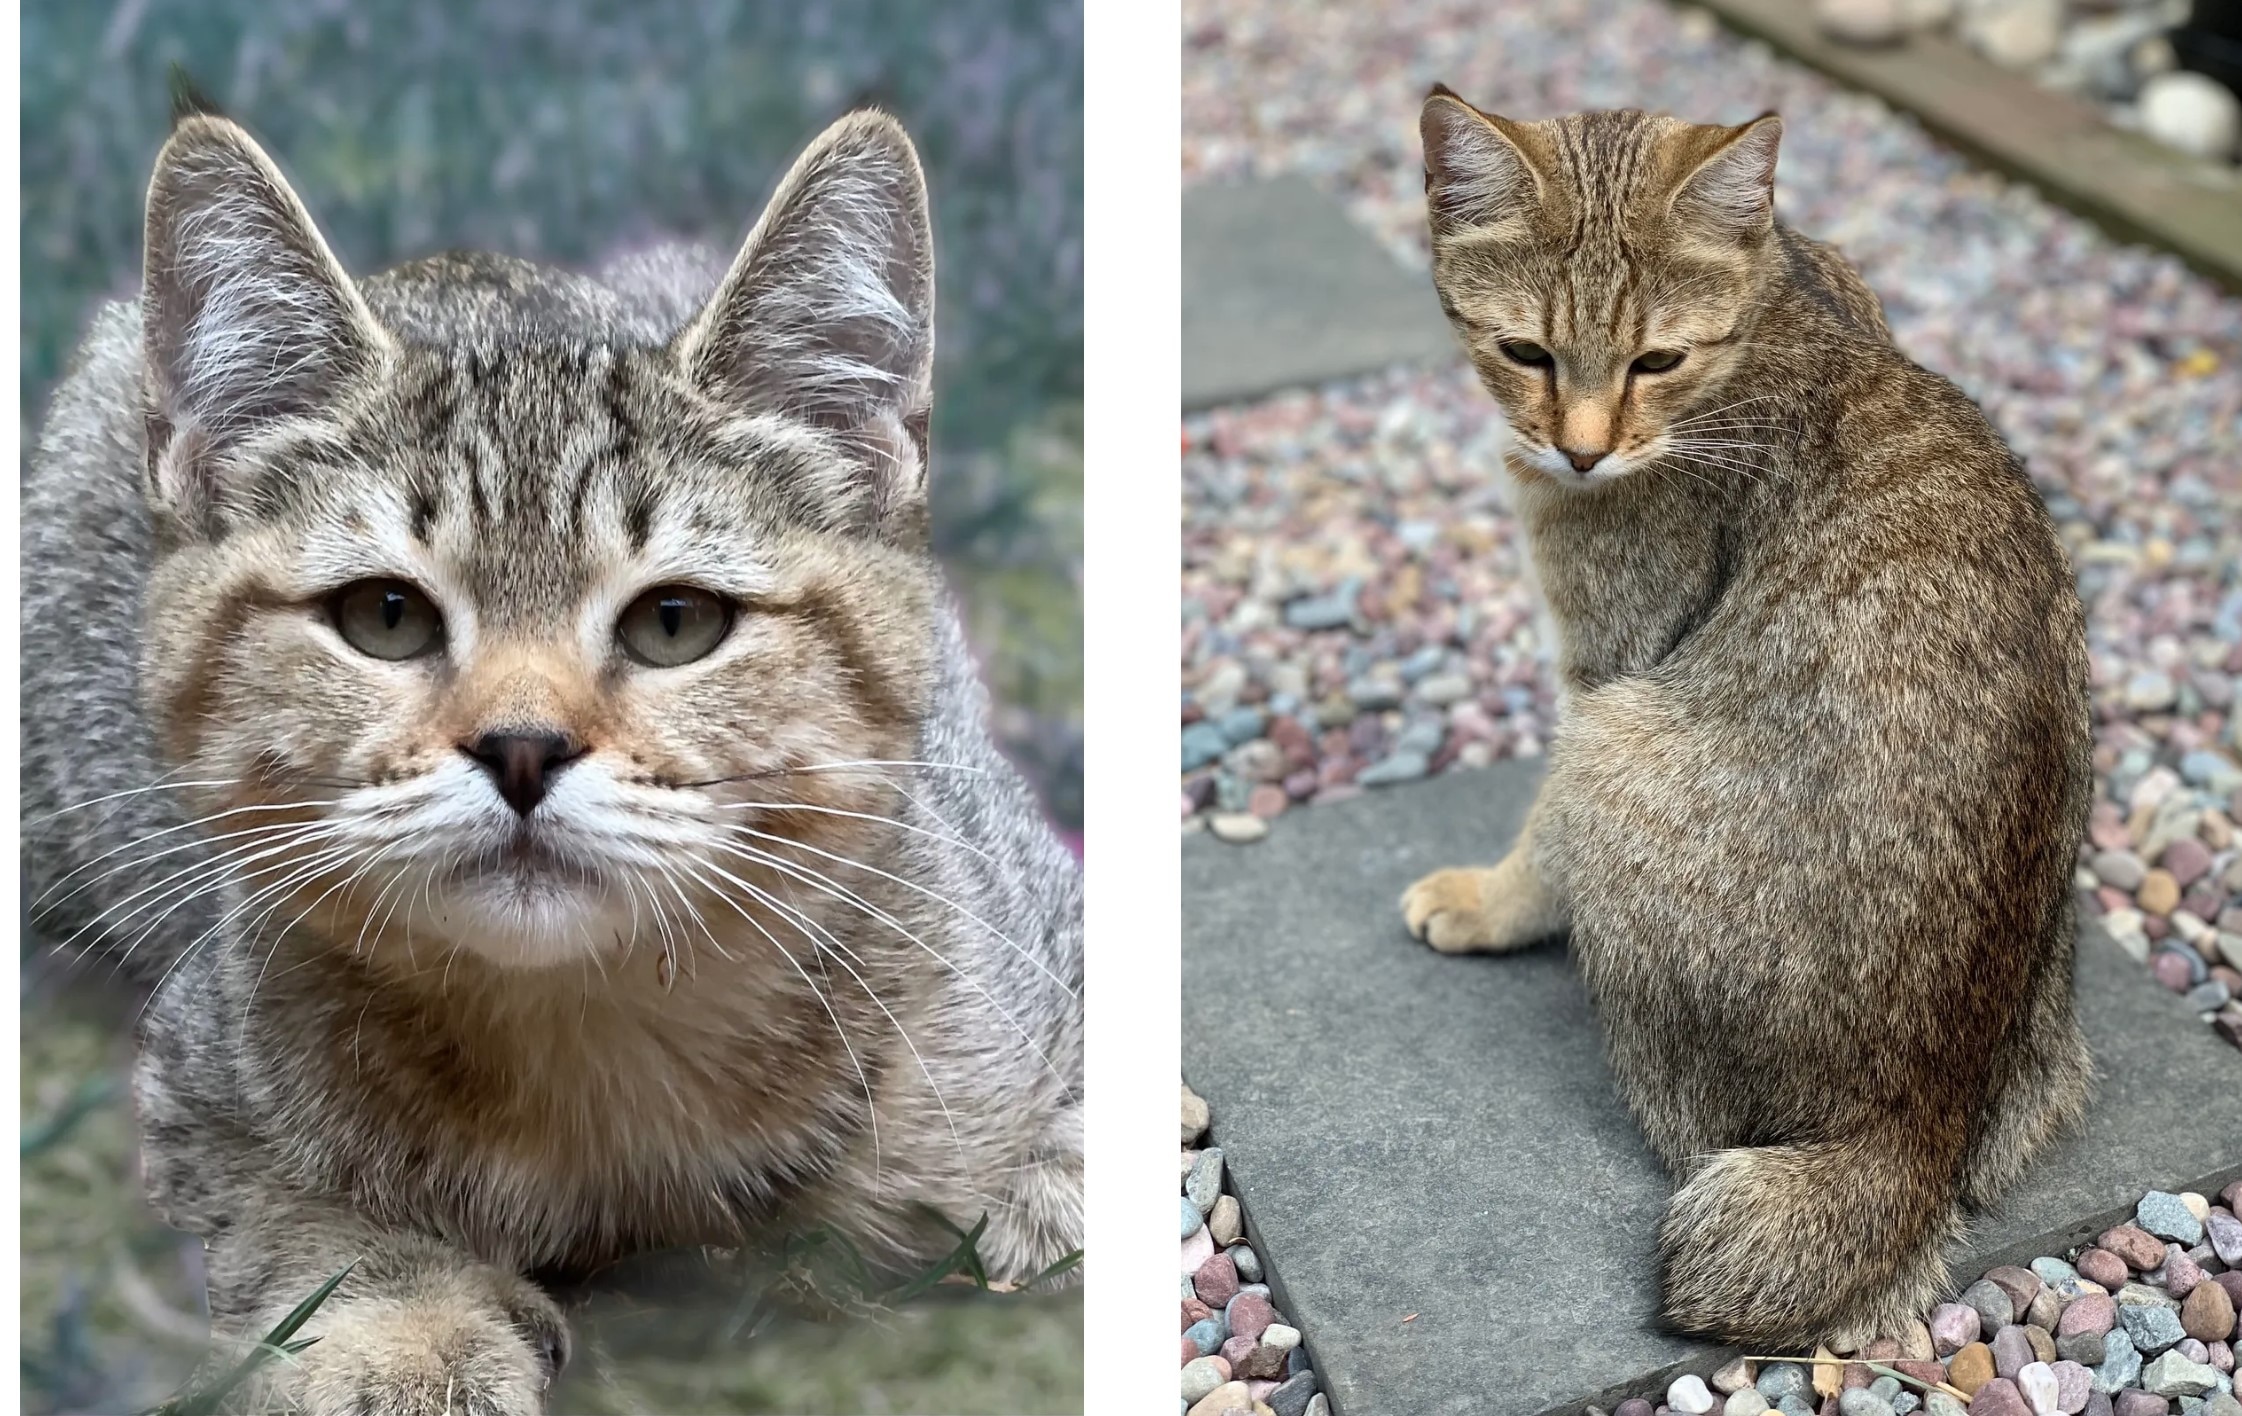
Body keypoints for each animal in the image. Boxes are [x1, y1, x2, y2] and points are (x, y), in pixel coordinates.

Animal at [19, 102, 1085, 1416]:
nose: (522, 748)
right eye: (384, 616)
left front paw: (1041, 1192)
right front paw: (402, 1327)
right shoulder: (199, 1068)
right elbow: (292, 1208)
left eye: (675, 622)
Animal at [1407, 88, 2089, 1353]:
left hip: (1622, 743)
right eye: (1525, 352)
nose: (1580, 448)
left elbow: (1541, 842)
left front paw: (1487, 902)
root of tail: (1911, 1132)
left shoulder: (1608, 670)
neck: (1780, 294)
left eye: (1656, 360)